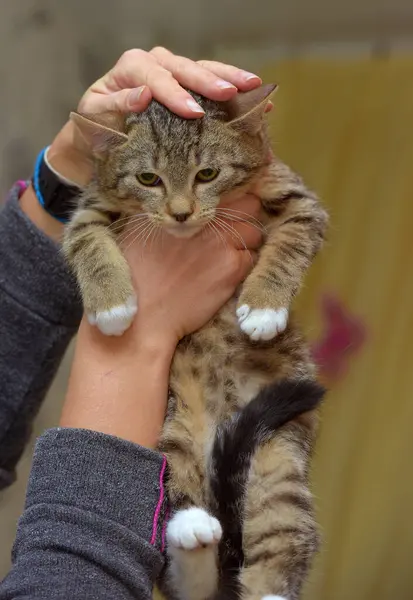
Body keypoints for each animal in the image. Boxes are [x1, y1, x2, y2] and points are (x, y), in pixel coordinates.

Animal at [63, 84, 328, 600]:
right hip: (176, 430)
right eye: (149, 178)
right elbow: (85, 237)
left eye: (207, 173)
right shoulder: (94, 201)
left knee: (283, 529)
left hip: (279, 458)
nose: (181, 213)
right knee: (183, 563)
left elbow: (293, 239)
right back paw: (191, 528)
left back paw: (268, 586)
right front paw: (111, 305)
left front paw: (263, 308)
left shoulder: (295, 195)